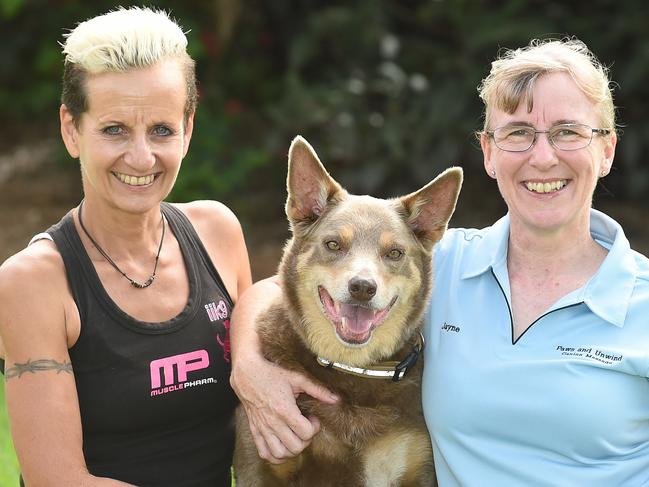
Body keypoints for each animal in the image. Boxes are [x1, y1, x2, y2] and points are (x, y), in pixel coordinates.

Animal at [235, 137, 464, 487]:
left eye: (394, 253)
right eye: (333, 245)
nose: (362, 287)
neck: (353, 368)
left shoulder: (416, 467)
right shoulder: (262, 465)